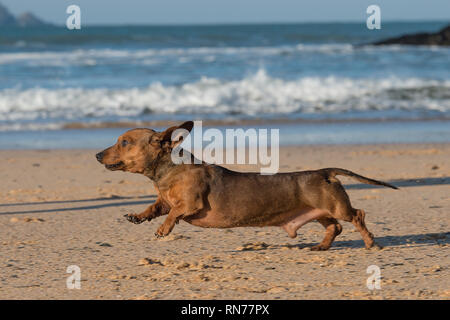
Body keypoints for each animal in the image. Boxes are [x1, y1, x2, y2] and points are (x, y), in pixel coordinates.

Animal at [96, 121, 398, 251]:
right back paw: (321, 246)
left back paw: (370, 242)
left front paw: (164, 228)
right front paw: (138, 215)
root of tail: (324, 171)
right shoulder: (164, 199)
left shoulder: (190, 204)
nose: (97, 155)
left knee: (357, 216)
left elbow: (173, 213)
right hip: (320, 213)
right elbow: (156, 206)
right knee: (335, 228)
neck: (168, 172)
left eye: (124, 142)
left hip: (337, 207)